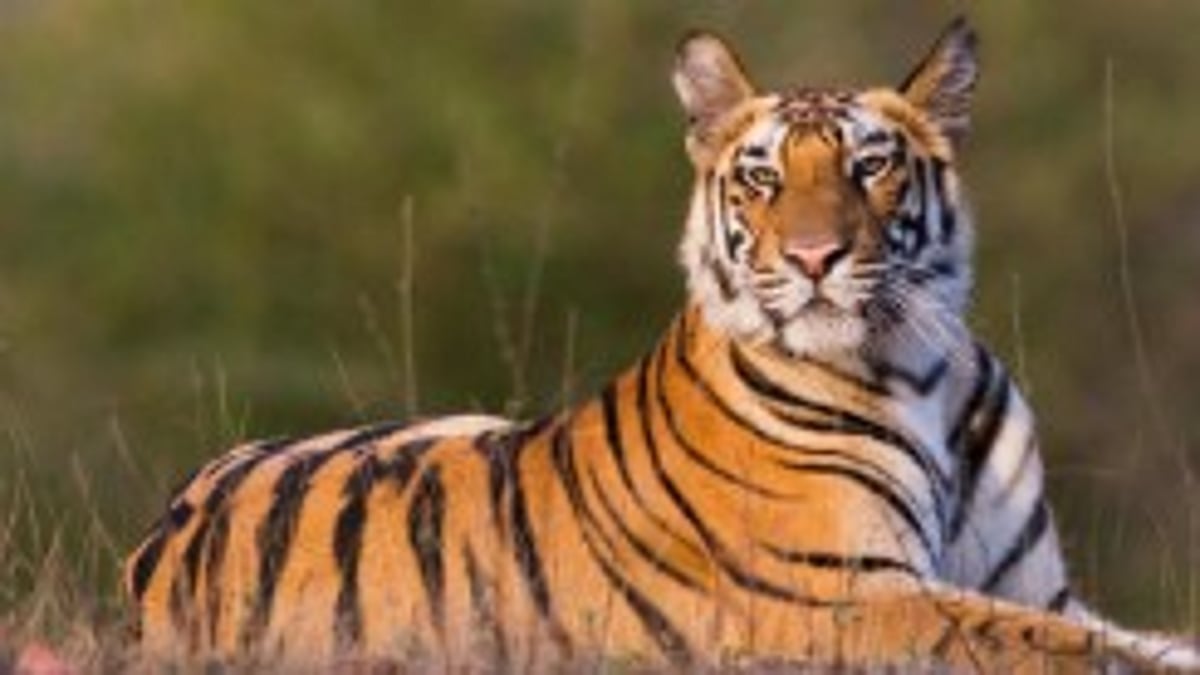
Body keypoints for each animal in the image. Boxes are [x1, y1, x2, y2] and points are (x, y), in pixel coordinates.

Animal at [124, 17, 1200, 672]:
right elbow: (1060, 647)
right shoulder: (839, 596)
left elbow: (1126, 635)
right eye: (763, 177)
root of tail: (158, 541)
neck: (919, 365)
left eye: (871, 166)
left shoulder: (1038, 586)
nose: (814, 257)